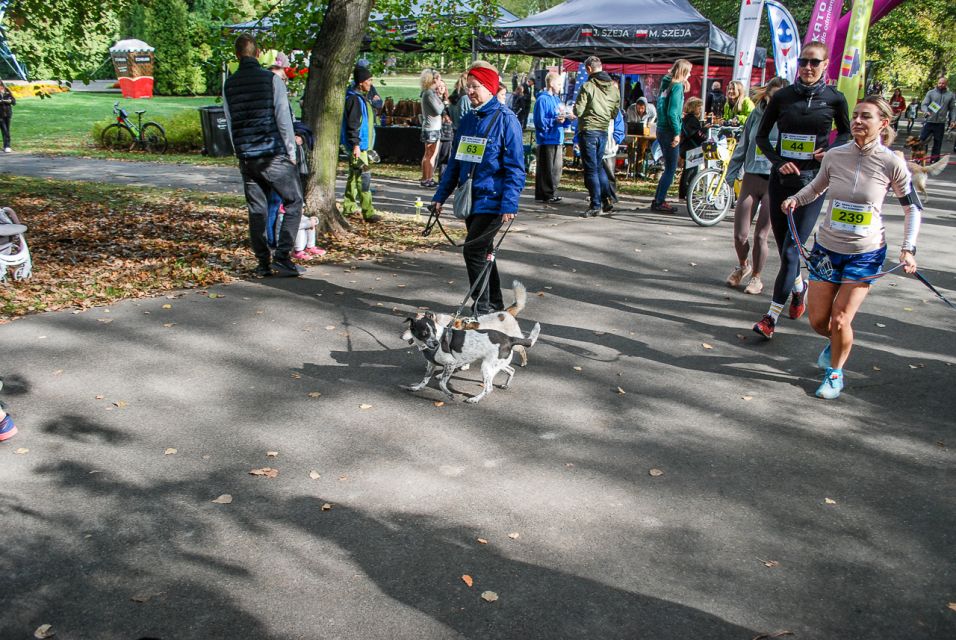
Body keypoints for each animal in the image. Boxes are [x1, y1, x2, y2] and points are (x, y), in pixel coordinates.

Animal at [402, 312, 536, 404]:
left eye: (434, 331)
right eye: (425, 333)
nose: (436, 343)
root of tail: (509, 338)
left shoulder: (451, 363)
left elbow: (441, 383)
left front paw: (449, 394)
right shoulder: (431, 364)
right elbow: (425, 380)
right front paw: (417, 388)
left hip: (486, 367)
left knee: (489, 388)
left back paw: (474, 399)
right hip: (497, 364)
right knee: (511, 370)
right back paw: (505, 385)